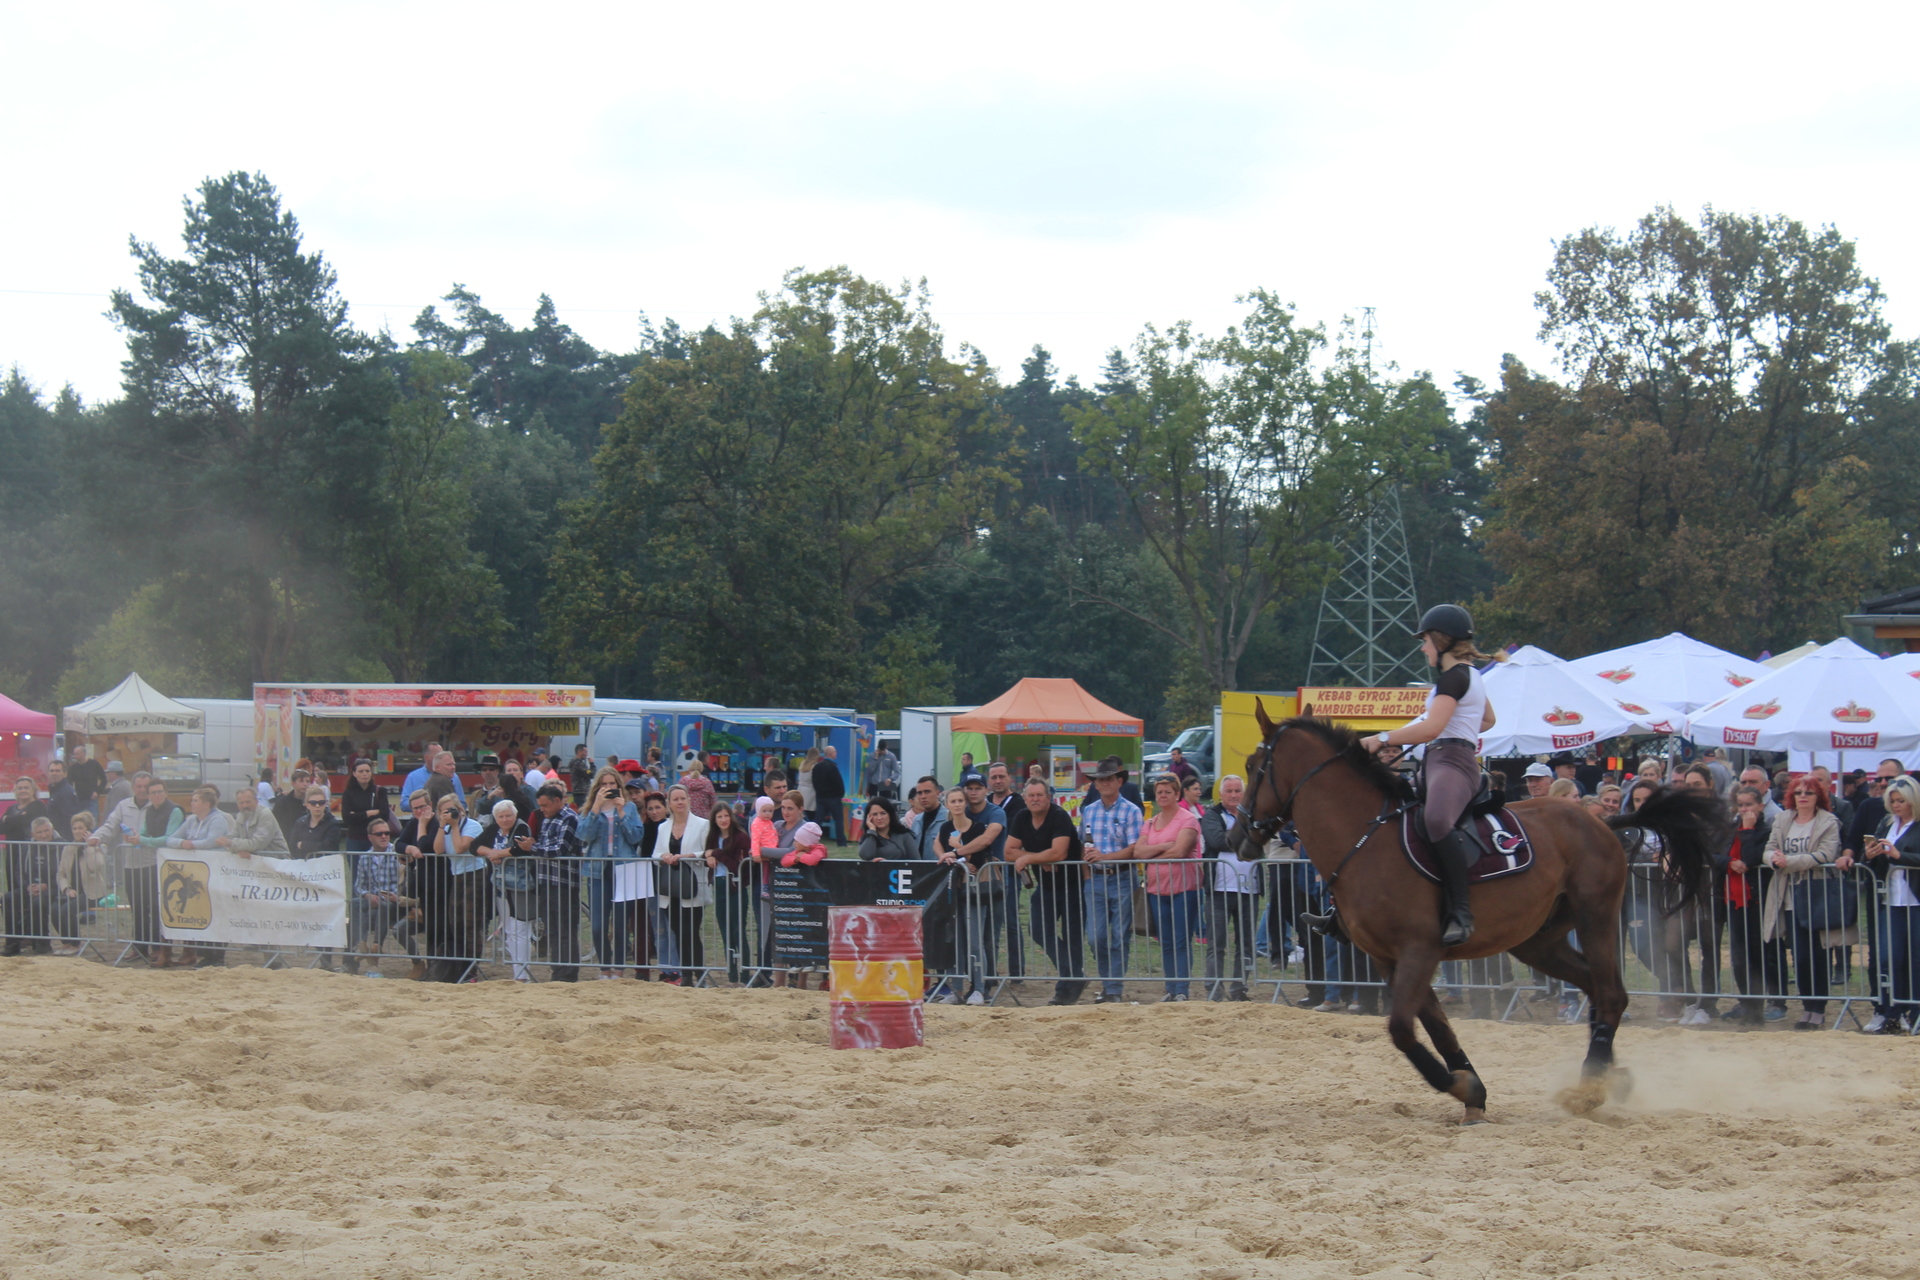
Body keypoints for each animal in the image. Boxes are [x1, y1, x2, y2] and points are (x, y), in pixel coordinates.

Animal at [1232, 703, 1724, 1124]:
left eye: (1253, 767)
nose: (1238, 838)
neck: (1365, 840)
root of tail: (1601, 821)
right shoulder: (1390, 960)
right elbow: (1437, 1029)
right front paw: (1473, 1091)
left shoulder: (1419, 950)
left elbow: (1402, 1030)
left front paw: (1458, 1085)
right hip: (1538, 941)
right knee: (1595, 990)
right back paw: (1610, 1074)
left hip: (1596, 917)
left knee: (1612, 994)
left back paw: (1589, 1085)